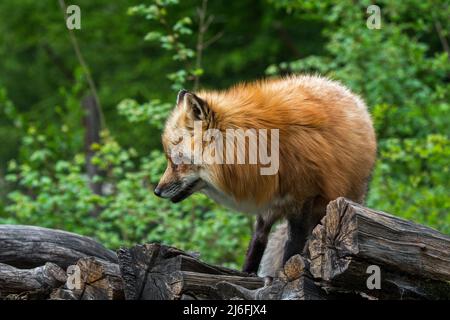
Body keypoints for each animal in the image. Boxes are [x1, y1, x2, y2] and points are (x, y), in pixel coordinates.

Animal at [155, 74, 376, 276]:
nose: (157, 191)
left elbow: (292, 247)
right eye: (169, 159)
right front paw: (247, 273)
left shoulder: (304, 198)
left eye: (176, 161)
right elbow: (256, 241)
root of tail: (343, 89)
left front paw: (285, 277)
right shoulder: (266, 200)